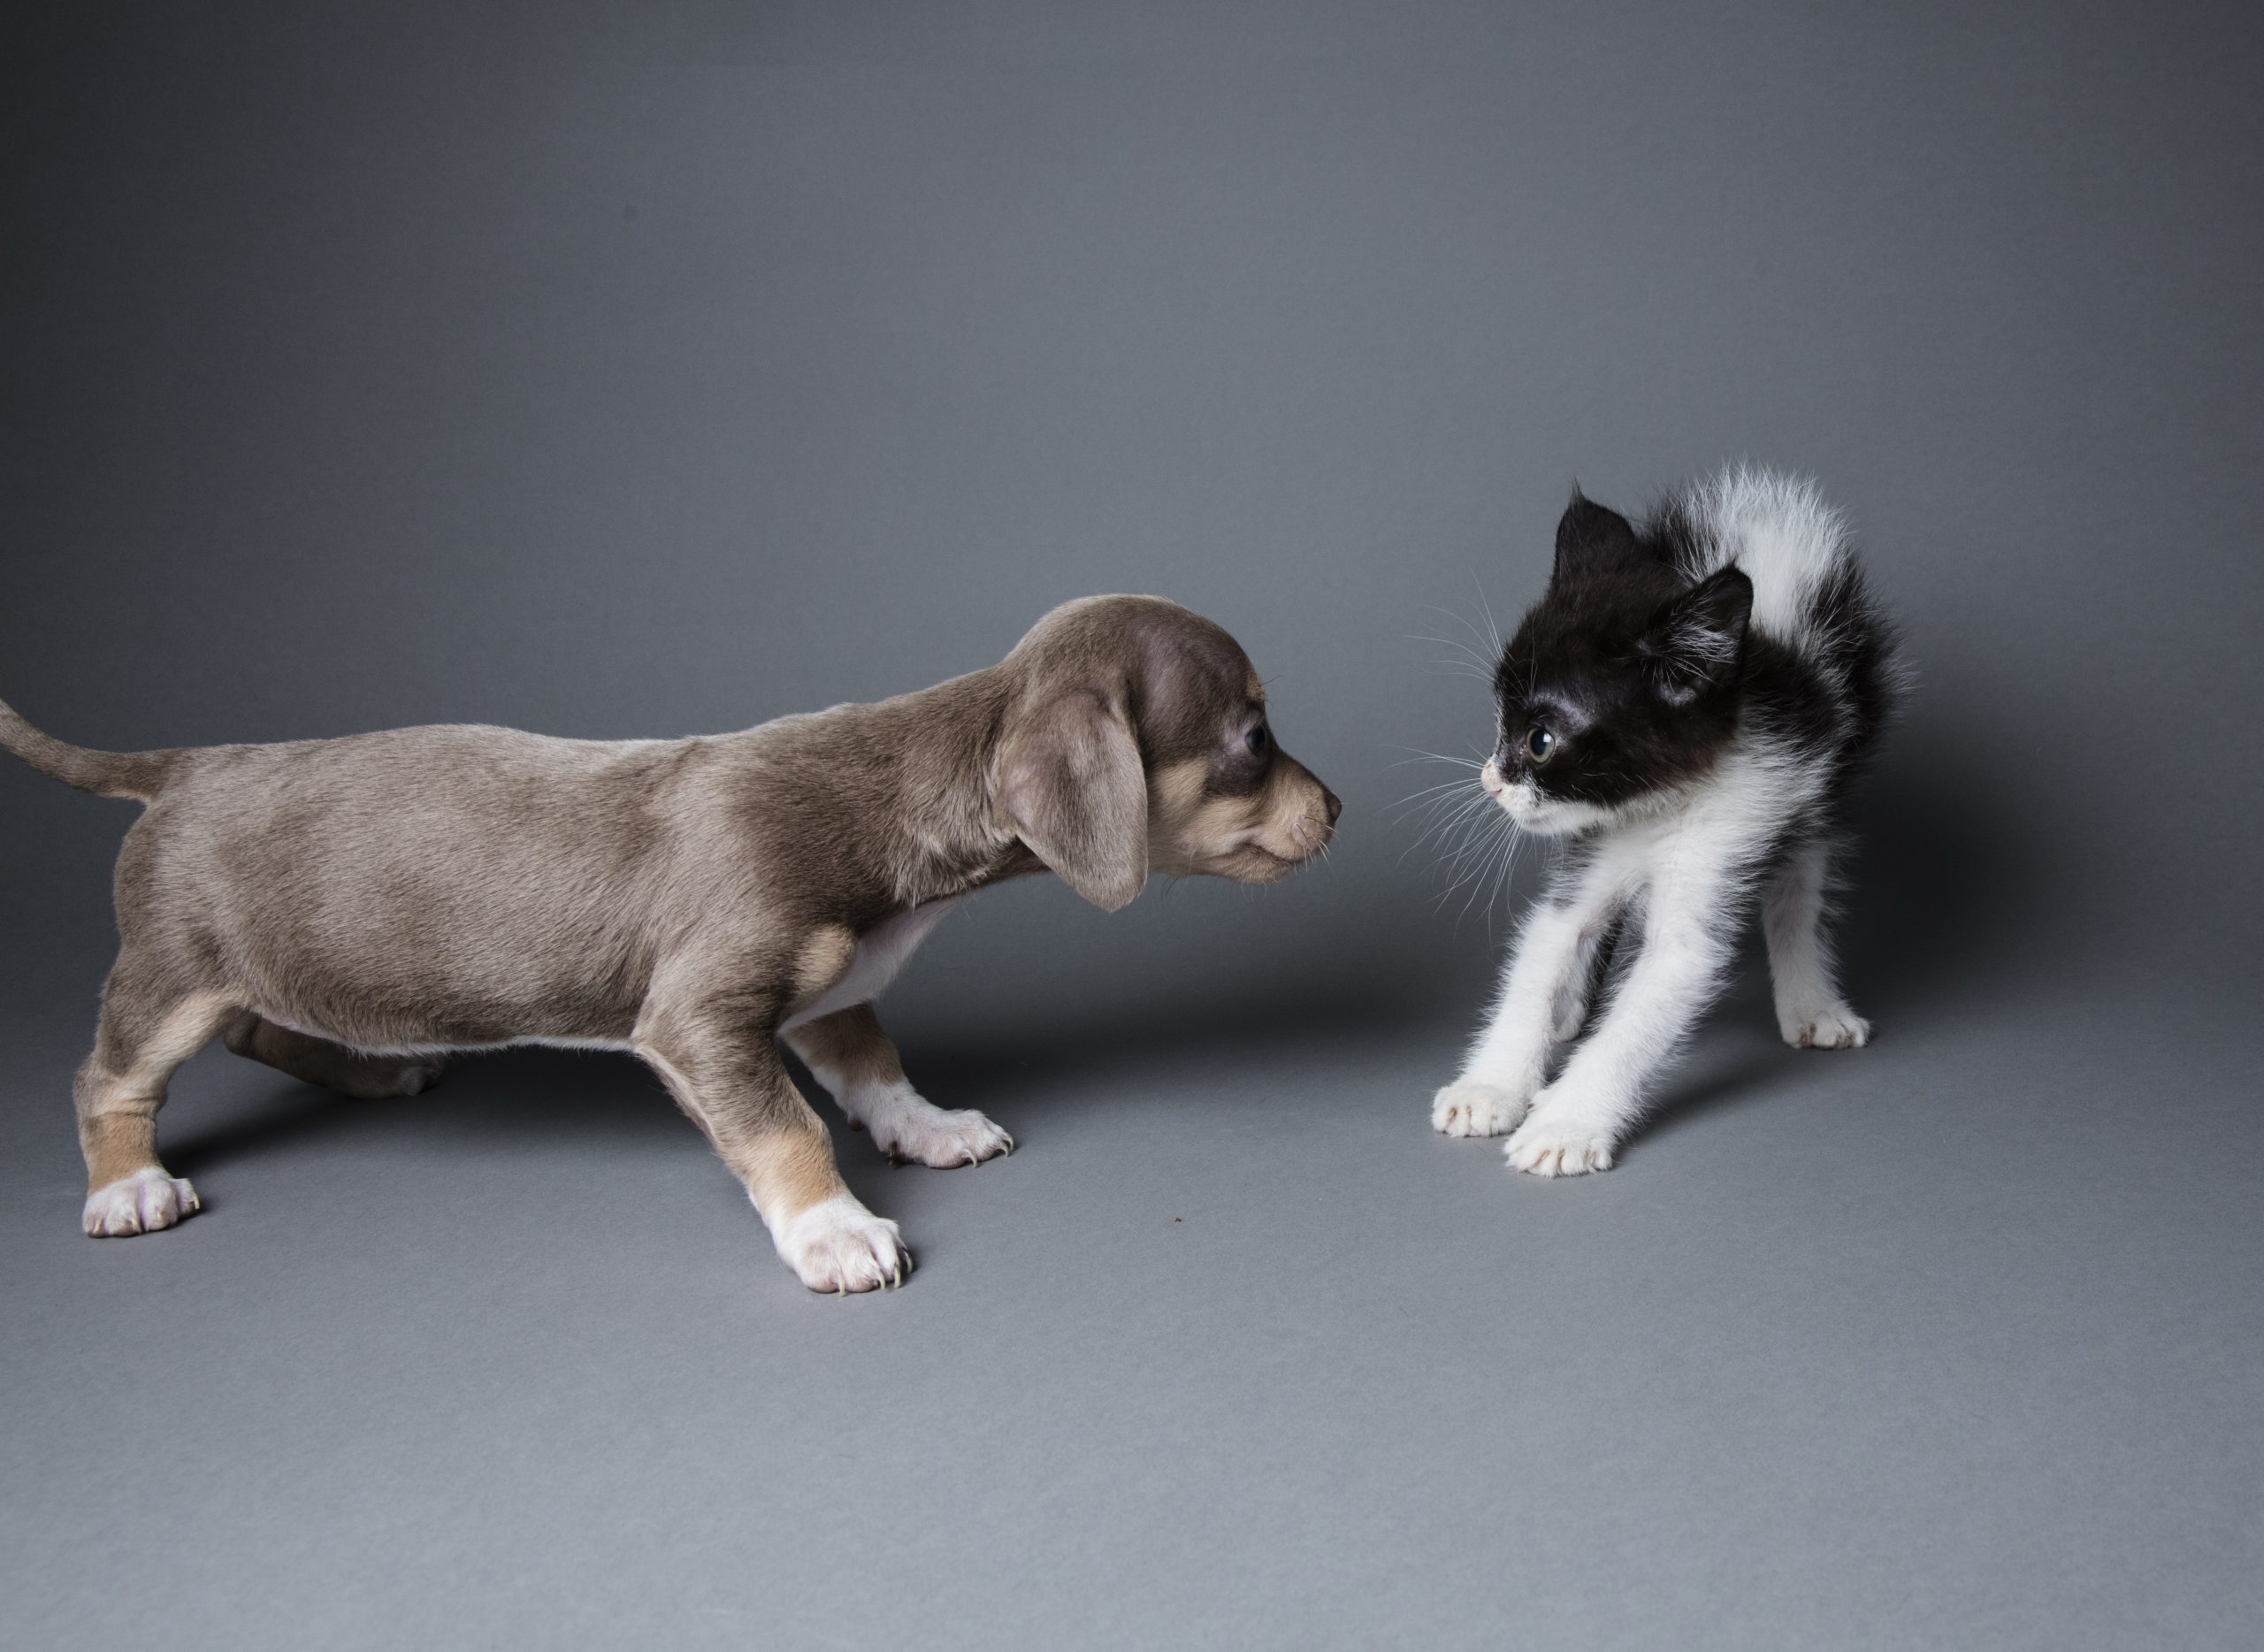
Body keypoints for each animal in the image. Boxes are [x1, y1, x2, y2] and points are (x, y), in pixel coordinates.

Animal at [0, 593, 1331, 1285]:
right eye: (1254, 738)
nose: (1338, 808)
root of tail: (184, 765)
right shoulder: (700, 1020)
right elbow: (788, 1127)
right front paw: (833, 1228)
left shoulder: (834, 992)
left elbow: (875, 1073)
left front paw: (929, 1127)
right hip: (172, 976)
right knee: (109, 1078)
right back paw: (126, 1186)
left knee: (269, 1034)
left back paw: (372, 1072)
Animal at [1430, 463, 1893, 1167]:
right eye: (1499, 720)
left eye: (1540, 740)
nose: (1491, 781)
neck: (1657, 807)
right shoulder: (1590, 855)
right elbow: (1547, 949)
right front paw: (1492, 1085)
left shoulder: (1727, 841)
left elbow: (1645, 1009)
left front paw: (1565, 1124)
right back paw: (1570, 1014)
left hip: (1816, 801)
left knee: (1797, 899)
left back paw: (1813, 1005)